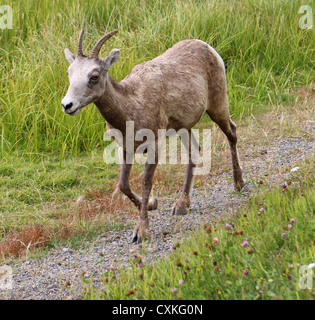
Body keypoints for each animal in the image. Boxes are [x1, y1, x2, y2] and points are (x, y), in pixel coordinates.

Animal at [61, 29, 244, 242]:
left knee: (232, 133)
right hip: (183, 127)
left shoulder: (155, 144)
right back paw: (181, 205)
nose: (67, 105)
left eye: (94, 76)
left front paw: (140, 231)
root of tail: (208, 47)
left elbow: (145, 182)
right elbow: (123, 185)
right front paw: (152, 204)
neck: (131, 105)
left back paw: (239, 184)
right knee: (195, 152)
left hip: (218, 105)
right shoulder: (126, 148)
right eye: (69, 73)